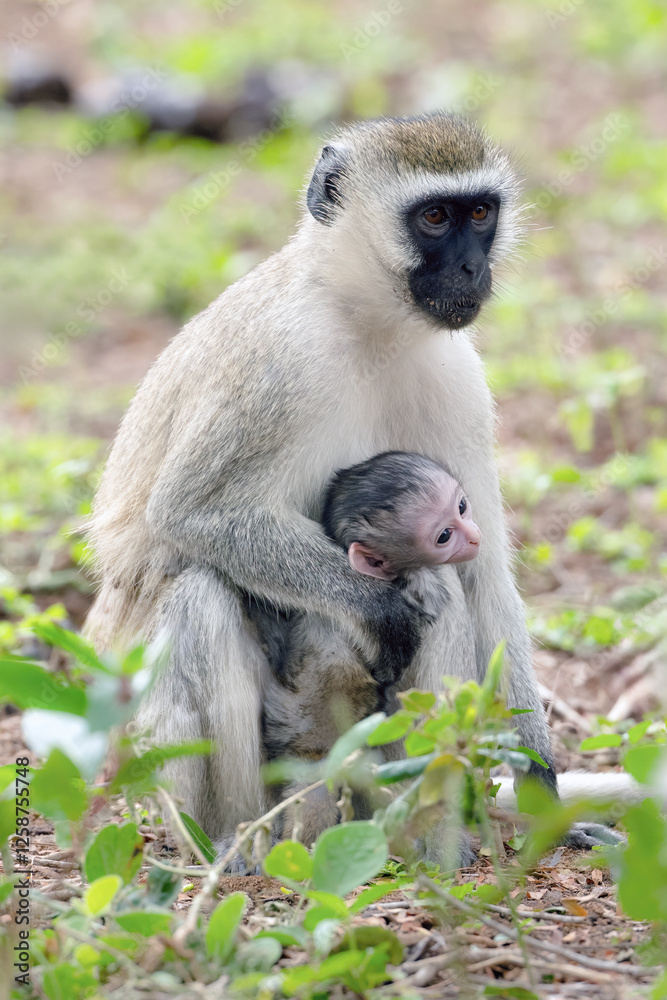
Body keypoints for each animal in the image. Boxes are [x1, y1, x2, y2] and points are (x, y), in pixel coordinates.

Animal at [85, 111, 612, 864]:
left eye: (479, 213)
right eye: (433, 218)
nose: (471, 269)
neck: (366, 320)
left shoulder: (456, 375)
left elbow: (478, 573)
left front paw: (543, 796)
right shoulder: (279, 360)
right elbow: (191, 514)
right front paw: (376, 608)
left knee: (443, 590)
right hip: (160, 752)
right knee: (201, 595)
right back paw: (240, 847)